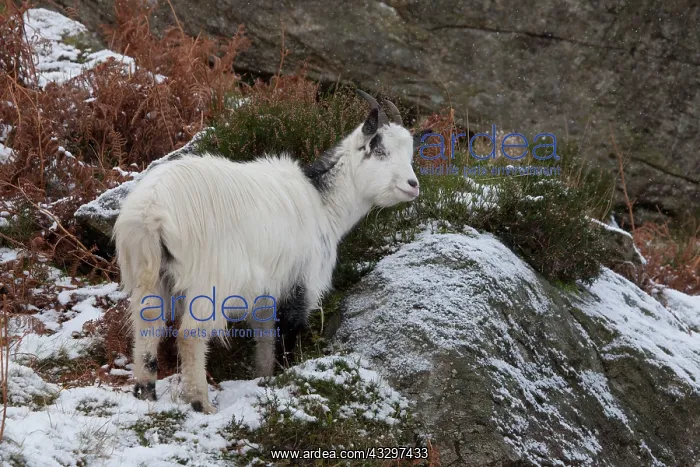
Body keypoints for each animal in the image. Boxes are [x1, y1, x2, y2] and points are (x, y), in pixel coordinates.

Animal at [113, 91, 420, 413]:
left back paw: (145, 390)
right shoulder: (301, 281)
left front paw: (263, 377)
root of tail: (151, 212)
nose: (413, 186)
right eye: (379, 150)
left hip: (147, 272)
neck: (322, 204)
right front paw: (282, 377)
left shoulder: (265, 294)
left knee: (147, 322)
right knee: (189, 335)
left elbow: (264, 339)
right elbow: (287, 332)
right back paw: (200, 402)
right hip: (210, 281)